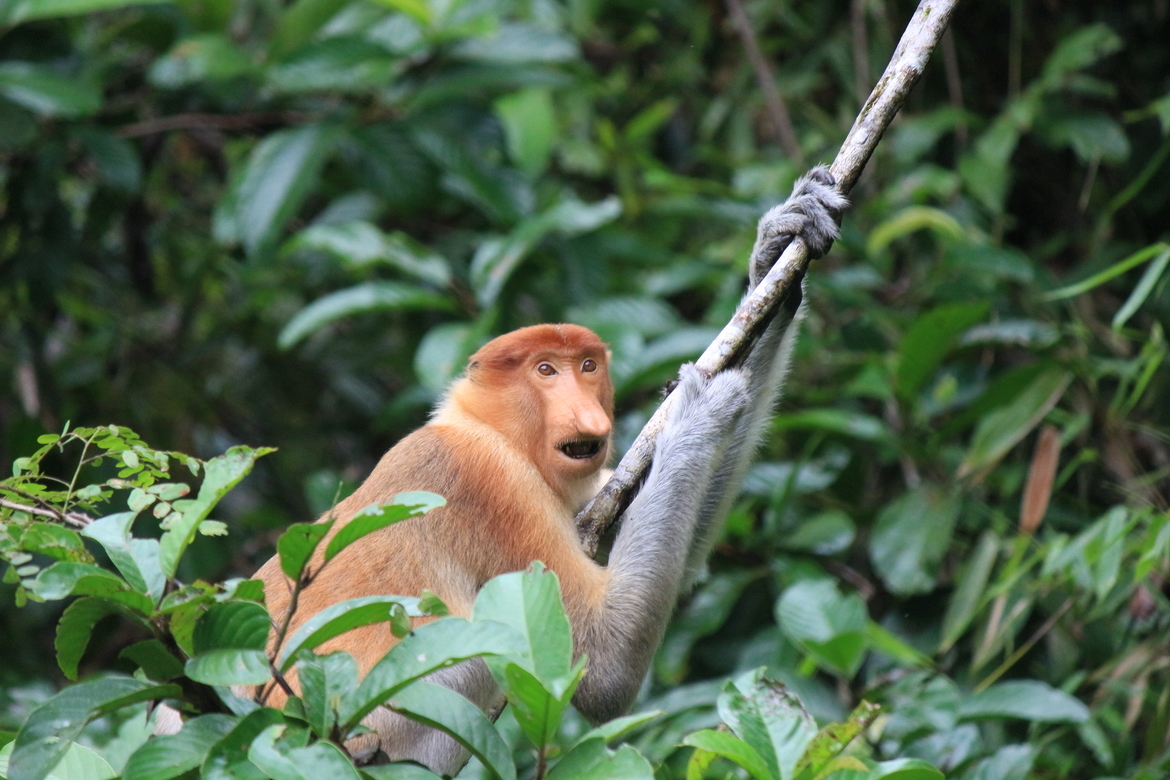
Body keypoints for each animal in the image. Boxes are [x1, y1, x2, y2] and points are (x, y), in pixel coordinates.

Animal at [157, 167, 845, 774]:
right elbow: (602, 660)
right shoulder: (491, 484)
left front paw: (777, 253)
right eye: (544, 370)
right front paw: (696, 409)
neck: (485, 427)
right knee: (471, 657)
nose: (586, 412)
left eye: (587, 365)